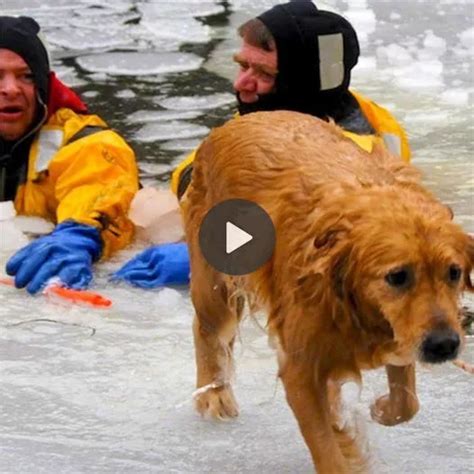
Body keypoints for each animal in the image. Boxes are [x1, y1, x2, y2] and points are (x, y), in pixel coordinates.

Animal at [181, 112, 470, 474]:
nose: (445, 345)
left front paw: (380, 409)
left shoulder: (400, 334)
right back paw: (214, 396)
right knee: (207, 330)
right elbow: (327, 448)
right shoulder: (301, 369)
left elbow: (407, 402)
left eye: (454, 272)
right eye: (397, 277)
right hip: (216, 284)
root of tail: (236, 121)